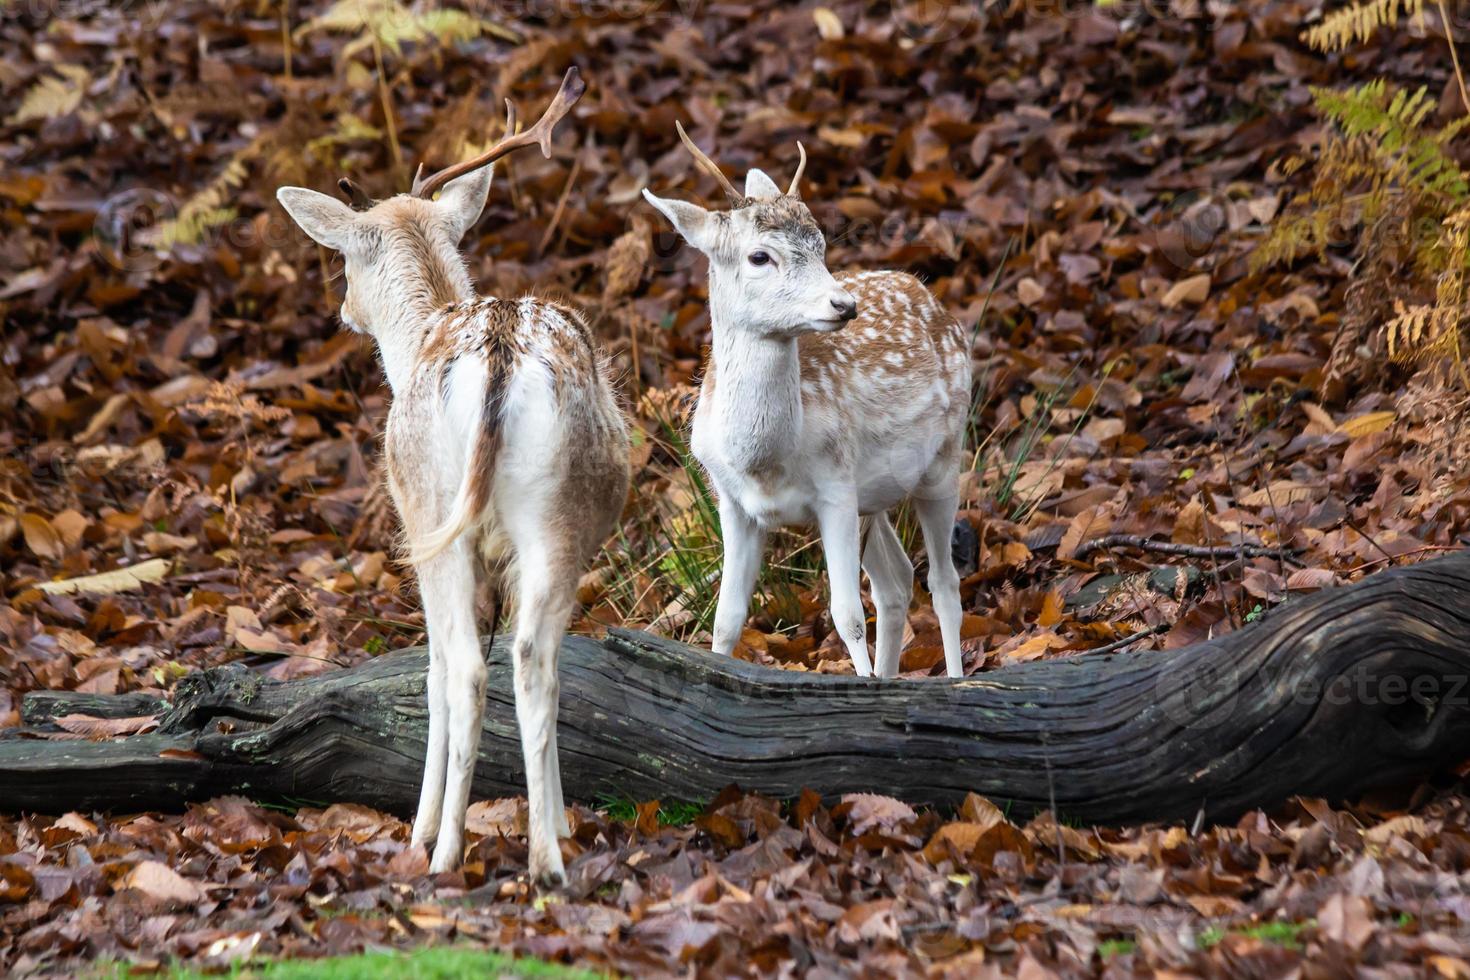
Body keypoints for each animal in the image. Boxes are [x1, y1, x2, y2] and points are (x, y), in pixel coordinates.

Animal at [273, 69, 629, 881]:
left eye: (345, 260)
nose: (344, 309)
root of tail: (497, 353)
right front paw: (558, 822)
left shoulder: (416, 526)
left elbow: (431, 673)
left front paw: (420, 825)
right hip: (556, 519)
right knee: (533, 659)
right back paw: (547, 857)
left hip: (438, 512)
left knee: (464, 669)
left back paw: (441, 855)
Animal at [646, 126, 976, 681]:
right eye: (760, 256)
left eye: (821, 244)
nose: (843, 304)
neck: (764, 460)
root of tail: (932, 298)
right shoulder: (730, 501)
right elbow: (726, 620)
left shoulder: (836, 487)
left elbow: (847, 617)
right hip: (877, 496)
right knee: (896, 582)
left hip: (945, 457)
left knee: (944, 585)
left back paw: (953, 679)